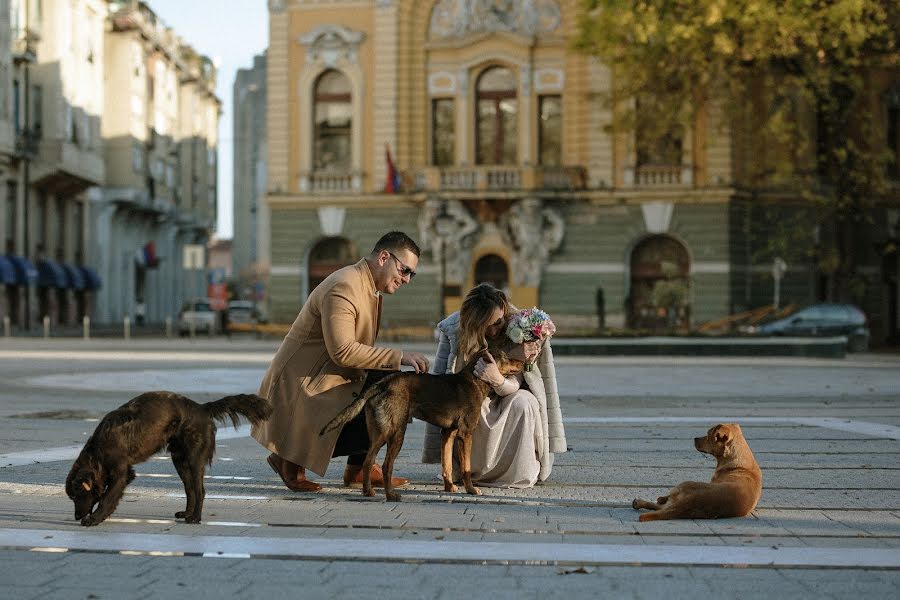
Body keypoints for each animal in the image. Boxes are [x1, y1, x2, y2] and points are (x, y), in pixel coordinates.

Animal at [64, 390, 270, 524]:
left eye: (76, 495)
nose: (76, 516)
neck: (98, 451)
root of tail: (201, 408)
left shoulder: (122, 473)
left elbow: (107, 497)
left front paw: (95, 519)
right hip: (179, 460)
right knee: (190, 490)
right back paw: (186, 514)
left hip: (194, 459)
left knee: (200, 490)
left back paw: (195, 518)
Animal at [320, 346, 524, 502]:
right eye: (504, 356)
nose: (523, 362)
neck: (475, 379)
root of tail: (383, 383)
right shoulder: (465, 434)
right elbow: (466, 467)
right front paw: (471, 490)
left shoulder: (448, 433)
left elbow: (446, 464)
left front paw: (450, 487)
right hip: (395, 431)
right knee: (386, 465)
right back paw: (391, 495)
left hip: (378, 432)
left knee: (368, 461)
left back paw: (368, 492)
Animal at [628, 422, 764, 520]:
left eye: (708, 435)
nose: (694, 438)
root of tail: (686, 504)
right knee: (661, 508)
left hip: (684, 483)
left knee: (659, 505)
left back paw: (640, 502)